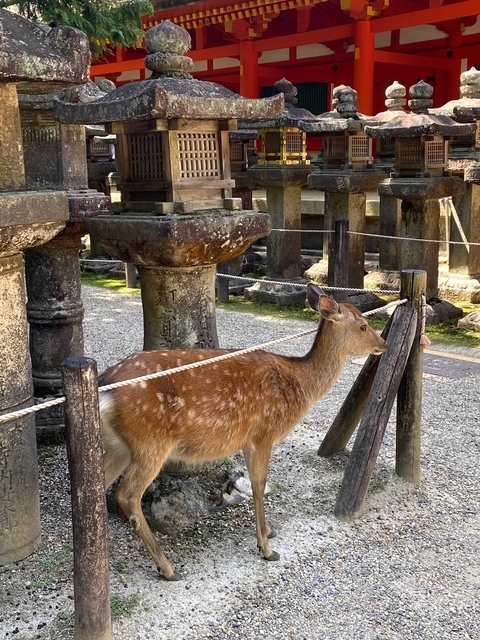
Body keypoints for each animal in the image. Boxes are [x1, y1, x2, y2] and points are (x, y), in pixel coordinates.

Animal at [98, 283, 386, 581]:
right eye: (363, 325)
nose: (383, 344)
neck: (299, 384)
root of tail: (105, 388)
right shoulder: (264, 433)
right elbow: (259, 486)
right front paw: (267, 548)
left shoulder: (248, 439)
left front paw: (269, 531)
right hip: (150, 442)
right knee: (127, 494)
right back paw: (167, 568)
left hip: (120, 446)